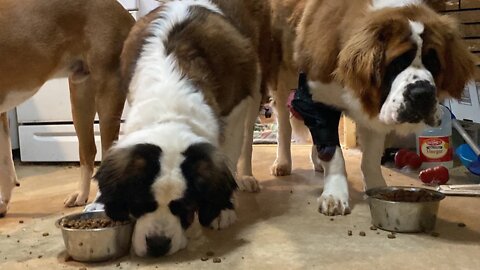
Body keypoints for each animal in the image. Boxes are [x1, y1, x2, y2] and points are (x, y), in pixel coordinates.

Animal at [0, 0, 135, 216]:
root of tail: (123, 11)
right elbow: (5, 163)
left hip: (108, 91)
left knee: (108, 150)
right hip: (80, 97)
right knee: (88, 151)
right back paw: (81, 194)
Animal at [266, 0, 476, 215]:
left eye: (434, 63)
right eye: (397, 63)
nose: (422, 93)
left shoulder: (373, 114)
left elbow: (371, 157)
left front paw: (377, 187)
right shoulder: (316, 100)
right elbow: (333, 153)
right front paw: (335, 195)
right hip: (284, 81)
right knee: (284, 125)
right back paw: (283, 162)